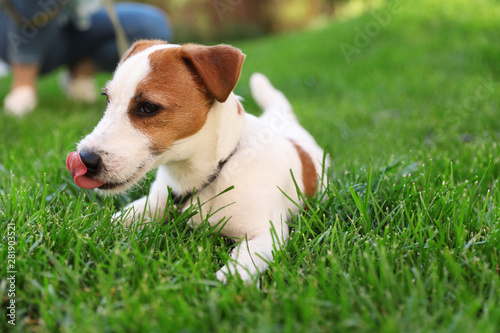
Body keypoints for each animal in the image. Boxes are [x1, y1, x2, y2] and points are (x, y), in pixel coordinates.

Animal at [67, 40, 328, 282]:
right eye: (107, 99)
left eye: (148, 107)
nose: (84, 159)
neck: (213, 171)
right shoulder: (154, 202)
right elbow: (114, 220)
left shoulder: (267, 233)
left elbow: (242, 264)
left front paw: (226, 285)